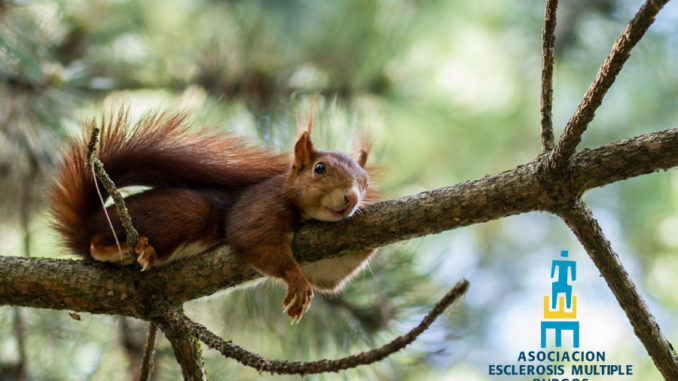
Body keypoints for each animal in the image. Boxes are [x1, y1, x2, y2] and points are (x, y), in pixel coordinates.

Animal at [47, 110, 378, 320]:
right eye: (320, 168)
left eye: (365, 182)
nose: (352, 198)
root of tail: (88, 222)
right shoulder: (258, 206)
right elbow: (253, 239)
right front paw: (297, 281)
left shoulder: (324, 262)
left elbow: (330, 277)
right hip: (187, 213)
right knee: (95, 244)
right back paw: (122, 250)